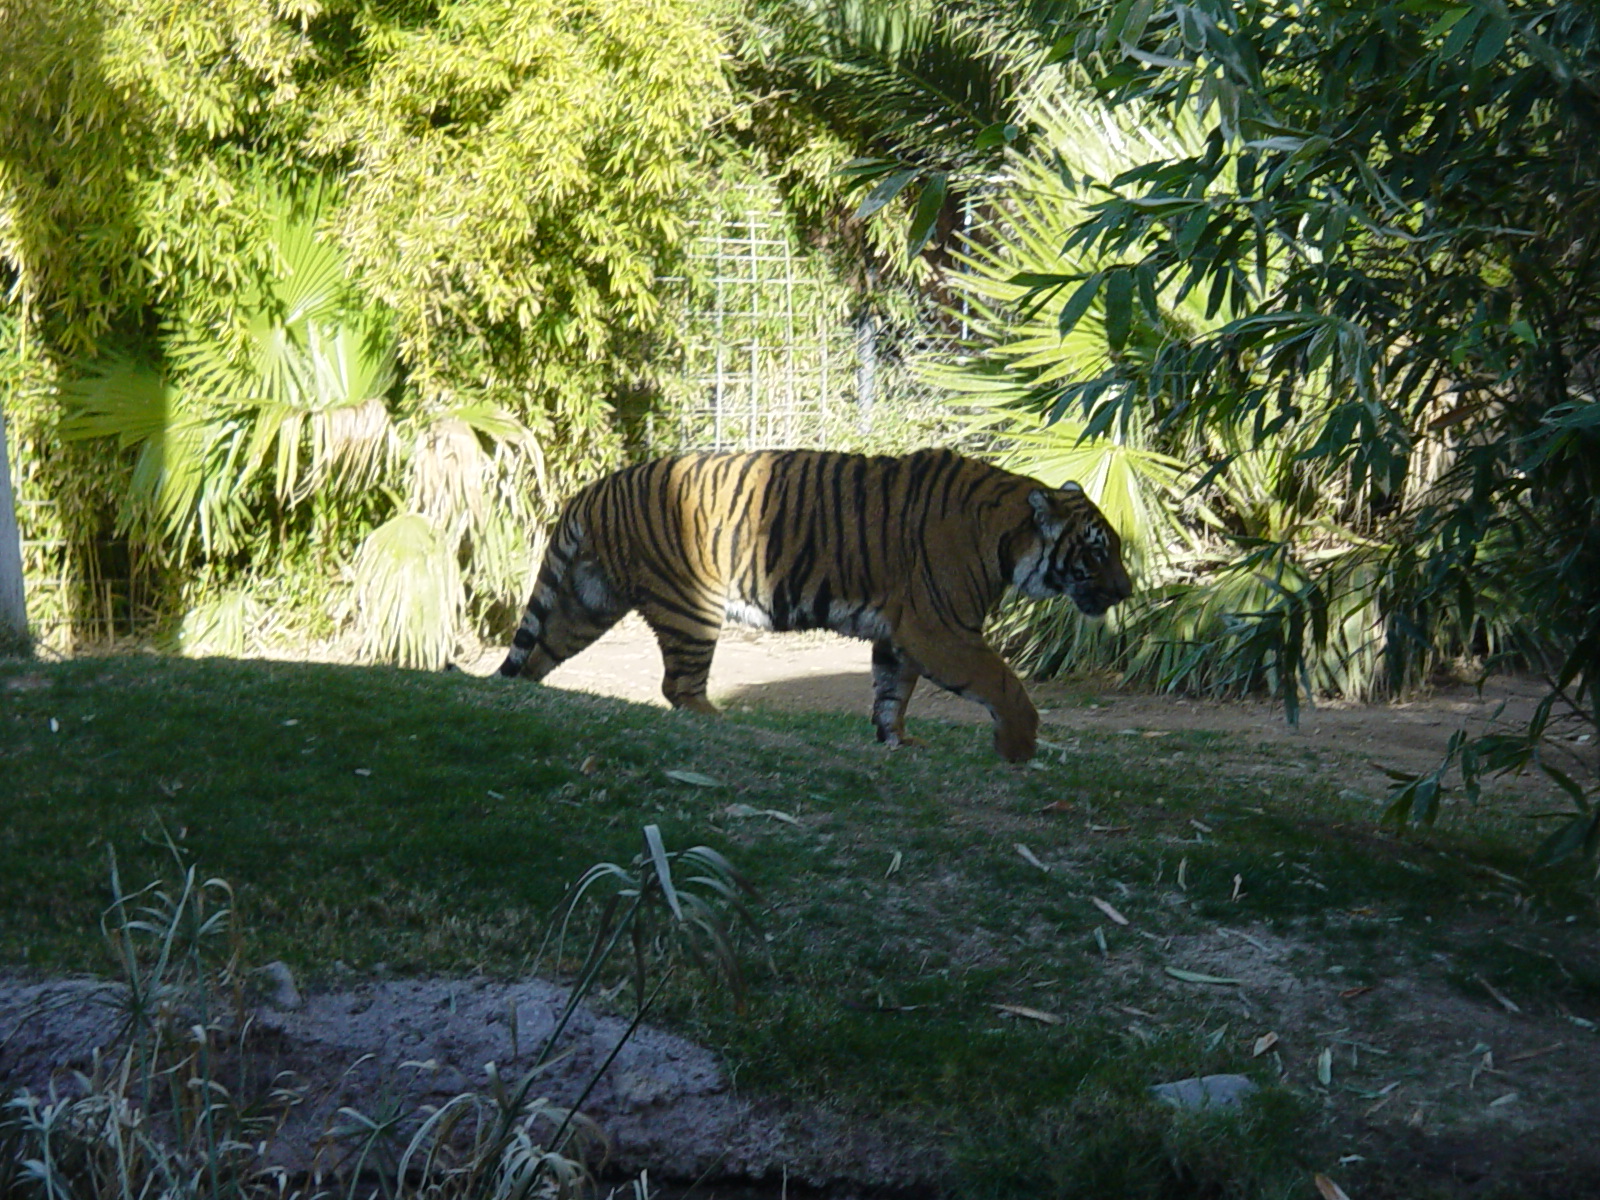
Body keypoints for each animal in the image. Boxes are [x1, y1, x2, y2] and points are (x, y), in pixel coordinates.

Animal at [497, 447, 1131, 762]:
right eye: (1098, 552)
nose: (1126, 591)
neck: (1007, 537)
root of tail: (594, 490)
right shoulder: (941, 629)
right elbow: (1003, 682)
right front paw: (1019, 746)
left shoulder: (901, 635)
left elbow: (892, 692)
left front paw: (896, 742)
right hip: (691, 605)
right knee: (679, 687)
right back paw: (722, 721)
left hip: (587, 602)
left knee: (537, 655)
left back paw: (525, 701)